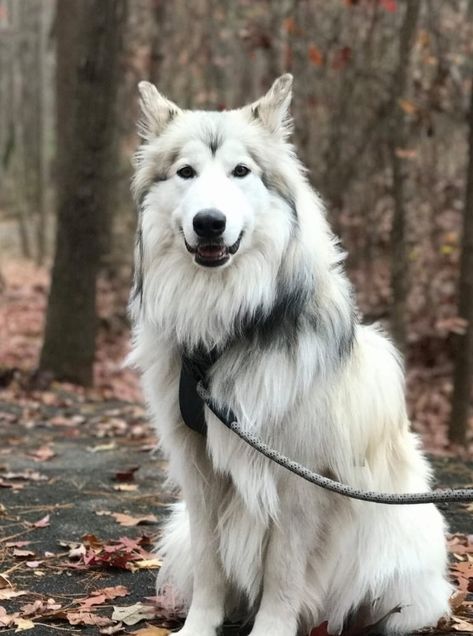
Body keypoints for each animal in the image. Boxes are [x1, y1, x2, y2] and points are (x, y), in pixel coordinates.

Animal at [128, 76, 450, 636]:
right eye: (186, 172)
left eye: (241, 171)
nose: (209, 223)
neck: (226, 330)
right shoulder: (199, 472)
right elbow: (212, 565)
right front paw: (199, 626)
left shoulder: (300, 479)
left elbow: (283, 572)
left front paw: (272, 628)